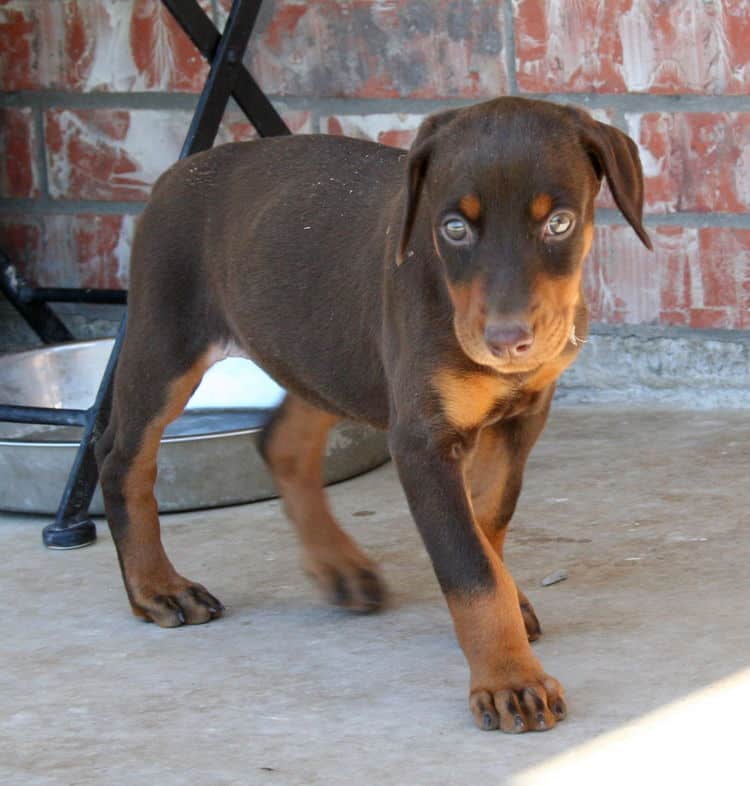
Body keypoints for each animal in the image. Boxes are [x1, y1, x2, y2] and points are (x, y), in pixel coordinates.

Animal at [97, 96, 652, 728]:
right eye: (453, 228)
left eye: (558, 223)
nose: (508, 342)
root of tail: (175, 174)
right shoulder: (420, 441)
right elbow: (468, 566)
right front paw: (510, 679)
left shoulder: (521, 418)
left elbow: (487, 521)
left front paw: (511, 605)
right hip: (166, 343)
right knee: (122, 461)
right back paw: (157, 587)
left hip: (324, 351)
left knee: (281, 441)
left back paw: (339, 567)